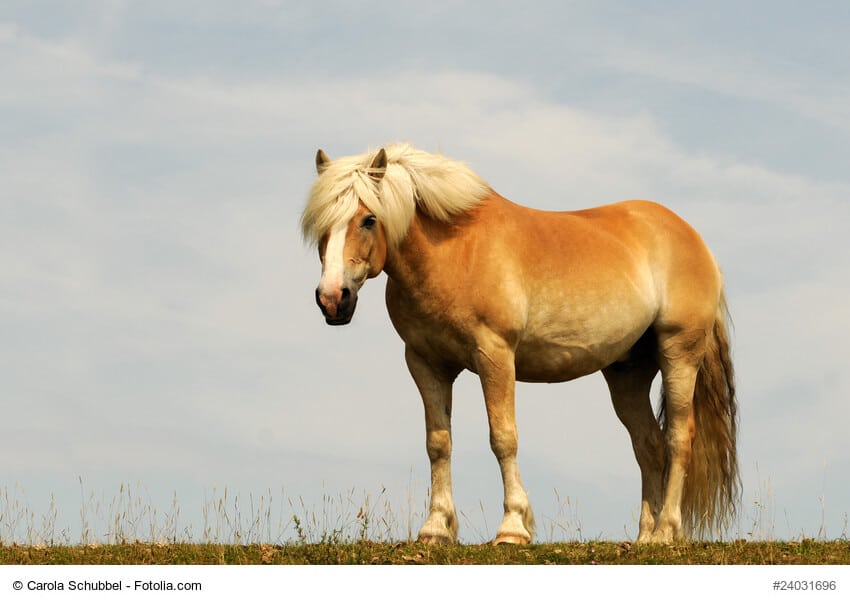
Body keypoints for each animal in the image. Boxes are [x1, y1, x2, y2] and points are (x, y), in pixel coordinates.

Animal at [301, 143, 738, 544]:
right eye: (319, 225)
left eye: (368, 219)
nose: (332, 298)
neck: (454, 252)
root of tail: (693, 239)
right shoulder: (425, 363)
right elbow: (438, 442)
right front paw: (436, 528)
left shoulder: (494, 355)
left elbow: (503, 438)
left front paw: (512, 527)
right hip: (626, 373)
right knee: (649, 446)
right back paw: (645, 536)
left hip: (678, 354)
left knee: (678, 439)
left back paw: (666, 531)